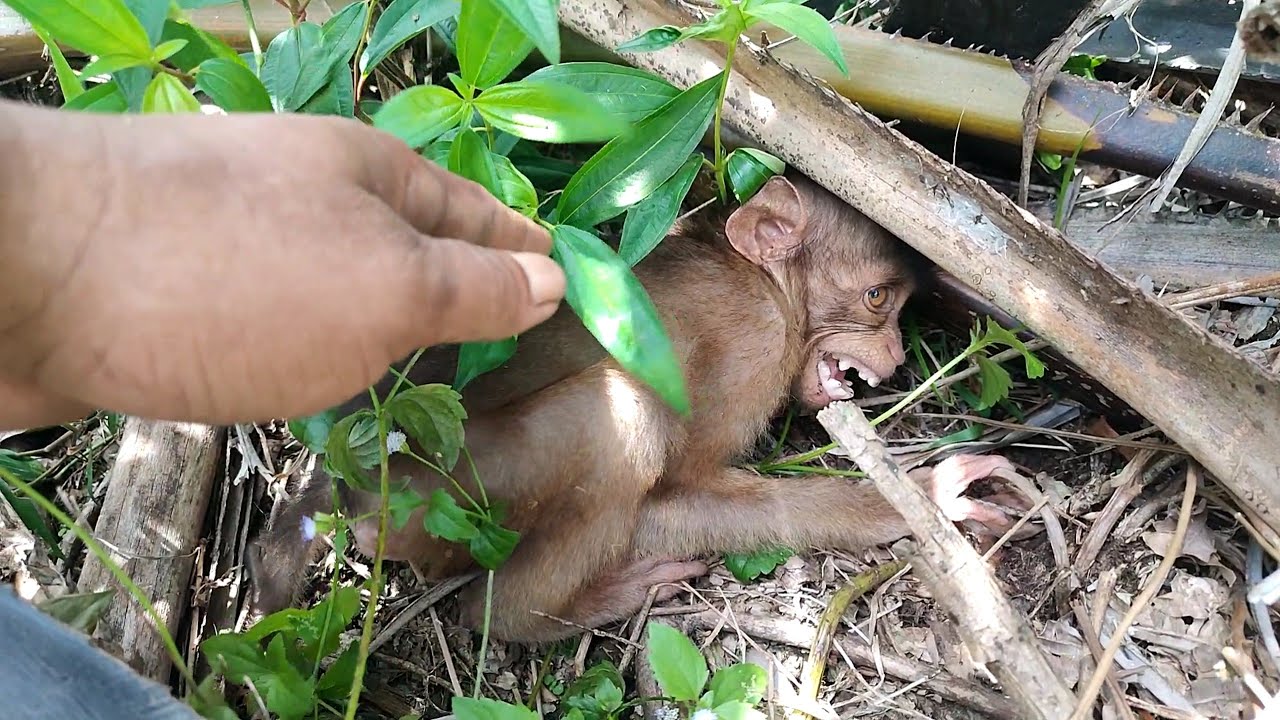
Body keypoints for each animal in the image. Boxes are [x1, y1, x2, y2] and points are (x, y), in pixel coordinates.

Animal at [247, 170, 1021, 643]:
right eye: (876, 298)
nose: (892, 354)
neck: (767, 288)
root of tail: (348, 471)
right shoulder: (755, 348)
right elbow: (679, 493)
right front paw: (924, 499)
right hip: (455, 487)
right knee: (625, 419)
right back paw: (535, 614)